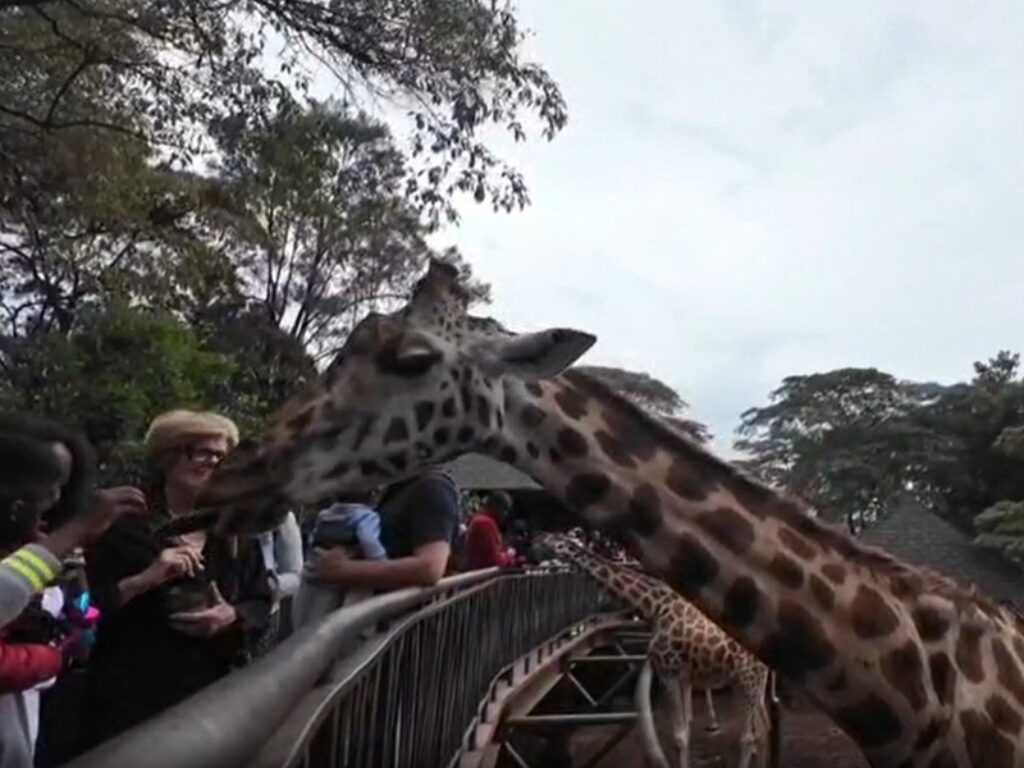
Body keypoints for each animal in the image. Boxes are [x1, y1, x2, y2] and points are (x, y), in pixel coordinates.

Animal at [534, 531, 771, 768]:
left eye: (549, 541)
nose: (534, 548)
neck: (654, 607)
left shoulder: (669, 673)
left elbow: (680, 735)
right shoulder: (682, 675)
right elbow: (687, 727)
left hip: (748, 678)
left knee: (749, 736)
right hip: (749, 681)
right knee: (763, 727)